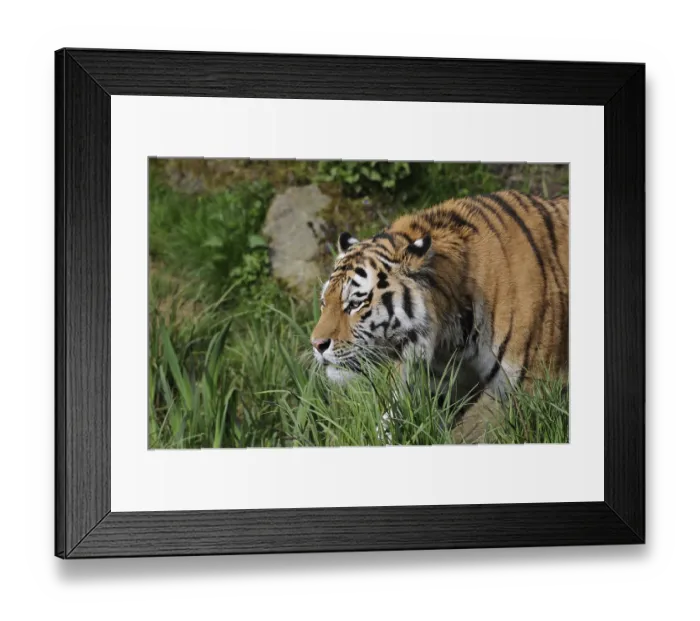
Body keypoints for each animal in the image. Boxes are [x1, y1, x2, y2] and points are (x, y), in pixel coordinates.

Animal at [309, 189, 569, 442]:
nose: (316, 345)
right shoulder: (428, 387)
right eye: (324, 303)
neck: (452, 337)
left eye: (355, 304)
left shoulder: (525, 390)